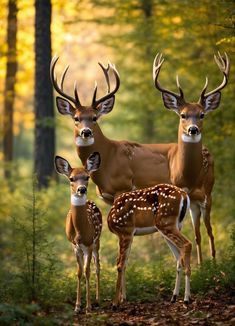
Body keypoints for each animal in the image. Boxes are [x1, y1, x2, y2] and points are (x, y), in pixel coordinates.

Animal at [55, 152, 103, 314]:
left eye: (87, 177)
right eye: (71, 178)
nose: (81, 189)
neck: (80, 232)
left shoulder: (88, 244)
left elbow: (87, 271)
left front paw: (88, 307)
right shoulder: (74, 246)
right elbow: (79, 272)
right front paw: (77, 306)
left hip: (97, 241)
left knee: (97, 266)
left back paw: (97, 300)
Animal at [152, 51, 229, 264]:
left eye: (202, 114)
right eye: (183, 115)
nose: (193, 129)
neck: (191, 179)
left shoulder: (207, 196)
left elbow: (210, 231)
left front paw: (214, 263)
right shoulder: (185, 197)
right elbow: (194, 234)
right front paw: (200, 265)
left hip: (203, 198)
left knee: (206, 230)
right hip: (192, 204)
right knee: (197, 233)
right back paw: (201, 262)